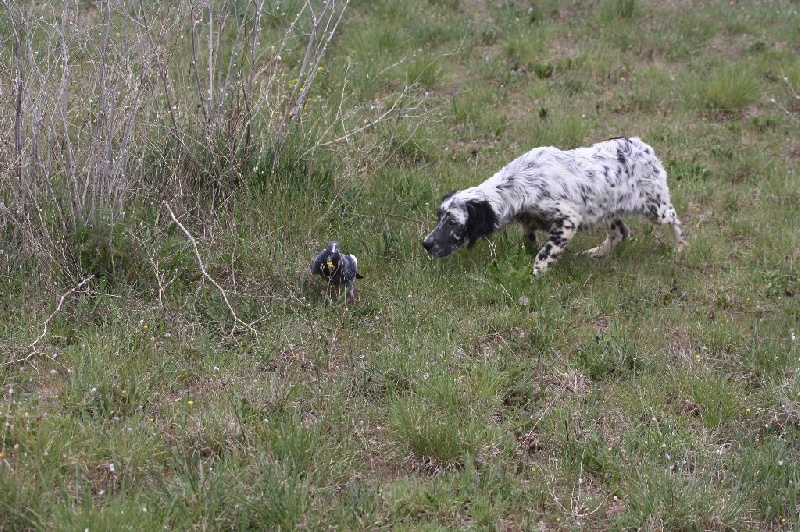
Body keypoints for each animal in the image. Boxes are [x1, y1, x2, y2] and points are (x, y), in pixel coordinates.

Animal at [422, 137, 684, 274]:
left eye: (453, 222)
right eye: (439, 217)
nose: (426, 243)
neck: (519, 182)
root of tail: (643, 146)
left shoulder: (568, 220)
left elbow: (544, 254)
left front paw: (535, 275)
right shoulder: (528, 221)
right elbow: (529, 240)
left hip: (656, 207)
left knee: (673, 218)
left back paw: (680, 248)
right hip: (608, 209)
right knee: (620, 233)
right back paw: (596, 253)